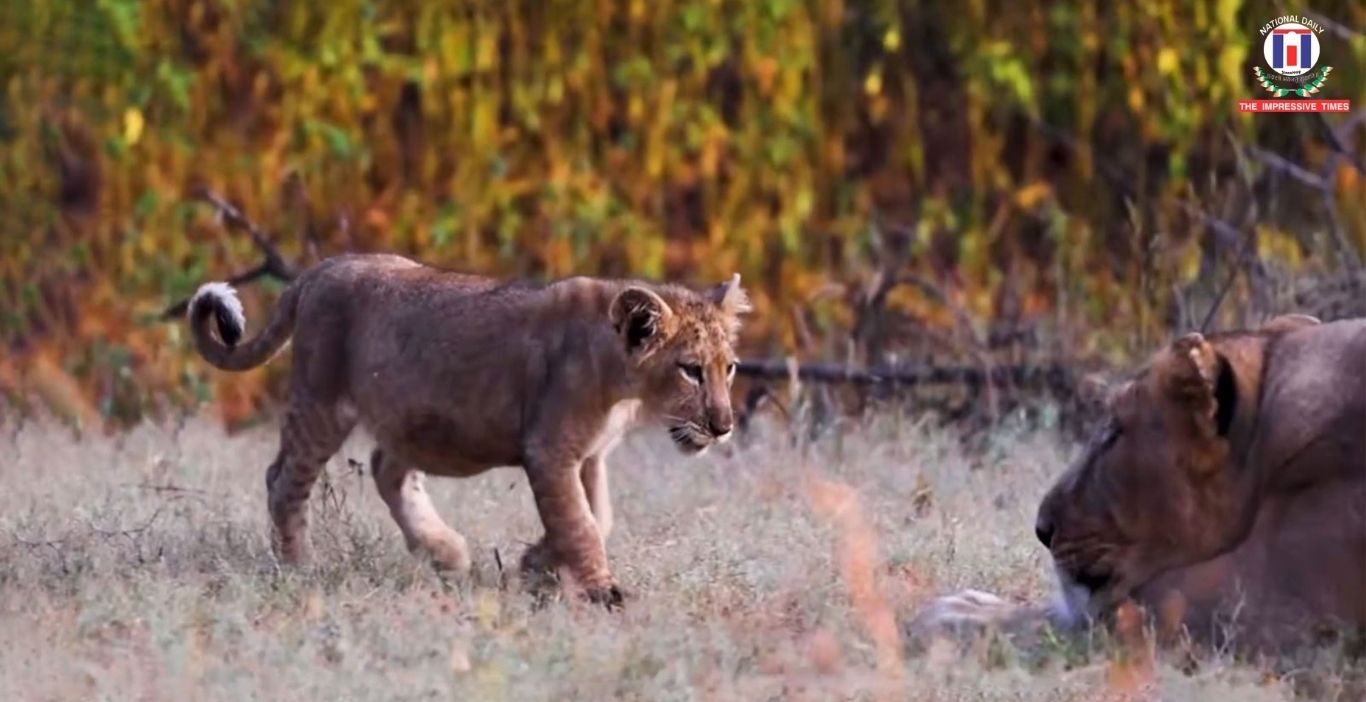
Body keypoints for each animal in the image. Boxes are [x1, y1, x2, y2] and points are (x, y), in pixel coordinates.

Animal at [187, 253, 750, 606]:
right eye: (691, 370)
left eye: (730, 369)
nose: (723, 427)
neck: (623, 383)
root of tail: (317, 270)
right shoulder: (549, 450)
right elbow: (580, 523)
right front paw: (599, 592)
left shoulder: (590, 456)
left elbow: (598, 516)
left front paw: (536, 564)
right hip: (322, 403)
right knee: (283, 480)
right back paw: (300, 568)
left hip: (408, 416)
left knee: (386, 469)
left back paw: (445, 552)